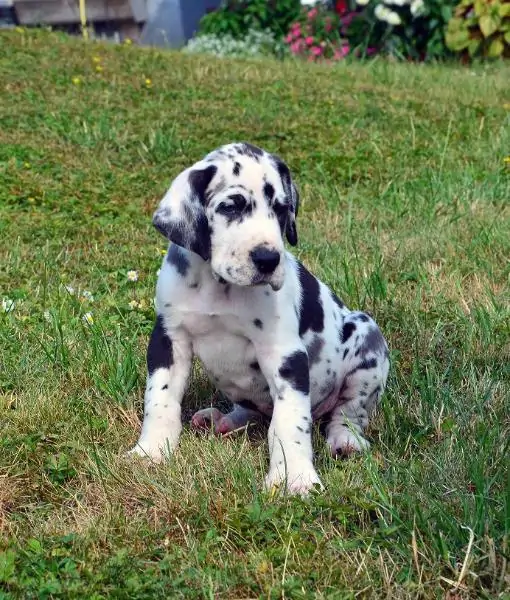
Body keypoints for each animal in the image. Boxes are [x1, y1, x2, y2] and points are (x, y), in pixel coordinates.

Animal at [128, 143, 390, 494]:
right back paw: (221, 420)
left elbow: (289, 423)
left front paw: (296, 478)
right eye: (230, 207)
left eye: (281, 210)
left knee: (347, 413)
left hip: (366, 339)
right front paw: (151, 451)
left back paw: (345, 439)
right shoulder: (169, 340)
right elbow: (160, 399)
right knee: (250, 410)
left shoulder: (284, 355)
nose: (268, 259)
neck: (219, 287)